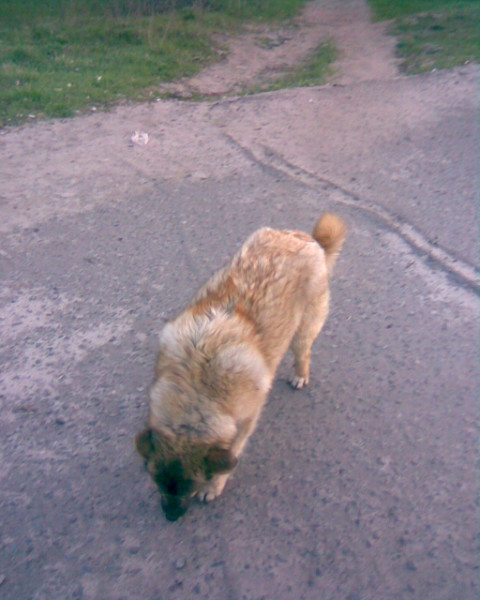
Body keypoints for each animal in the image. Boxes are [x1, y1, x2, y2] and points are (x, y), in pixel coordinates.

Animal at [135, 214, 346, 521]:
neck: (197, 387)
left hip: (303, 331)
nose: (171, 518)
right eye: (157, 484)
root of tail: (307, 239)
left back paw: (300, 375)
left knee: (303, 354)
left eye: (191, 486)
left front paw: (214, 486)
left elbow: (232, 454)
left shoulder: (245, 421)